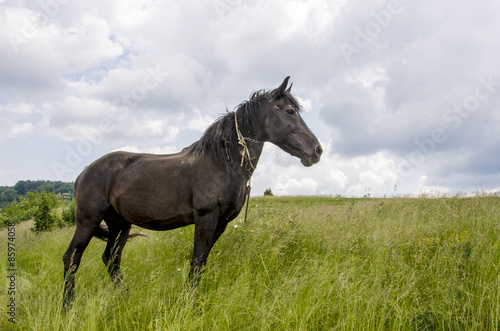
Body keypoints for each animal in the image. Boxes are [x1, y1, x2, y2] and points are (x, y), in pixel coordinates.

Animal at [62, 76, 322, 310]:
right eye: (290, 111)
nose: (317, 150)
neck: (222, 163)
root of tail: (84, 172)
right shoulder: (206, 218)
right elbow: (196, 262)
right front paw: (190, 306)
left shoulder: (221, 223)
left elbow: (202, 263)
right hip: (88, 220)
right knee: (72, 258)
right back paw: (67, 307)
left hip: (120, 224)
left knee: (111, 259)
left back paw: (126, 298)